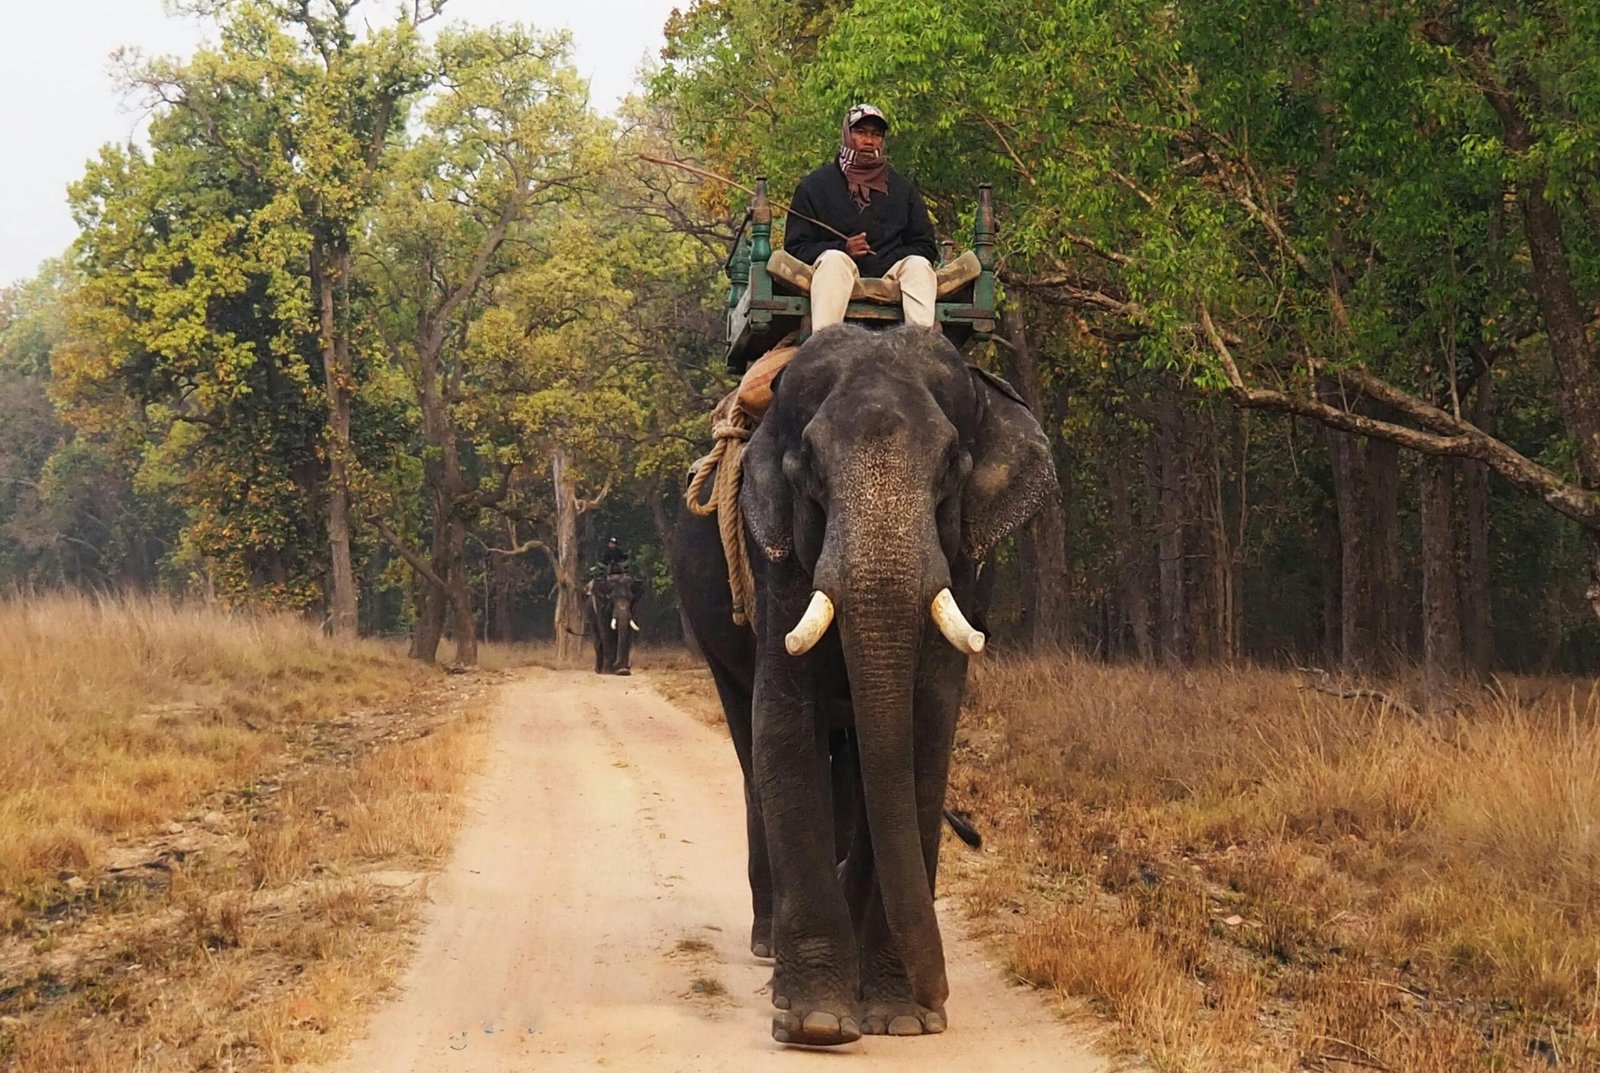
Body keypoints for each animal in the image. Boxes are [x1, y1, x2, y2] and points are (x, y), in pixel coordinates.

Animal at [669, 325, 1055, 1046]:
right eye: (807, 470)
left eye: (952, 467)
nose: (939, 992)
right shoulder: (778, 562)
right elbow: (784, 725)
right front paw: (818, 1022)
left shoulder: (964, 566)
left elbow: (924, 734)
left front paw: (902, 1019)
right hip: (710, 627)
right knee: (750, 742)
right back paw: (767, 943)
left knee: (851, 758)